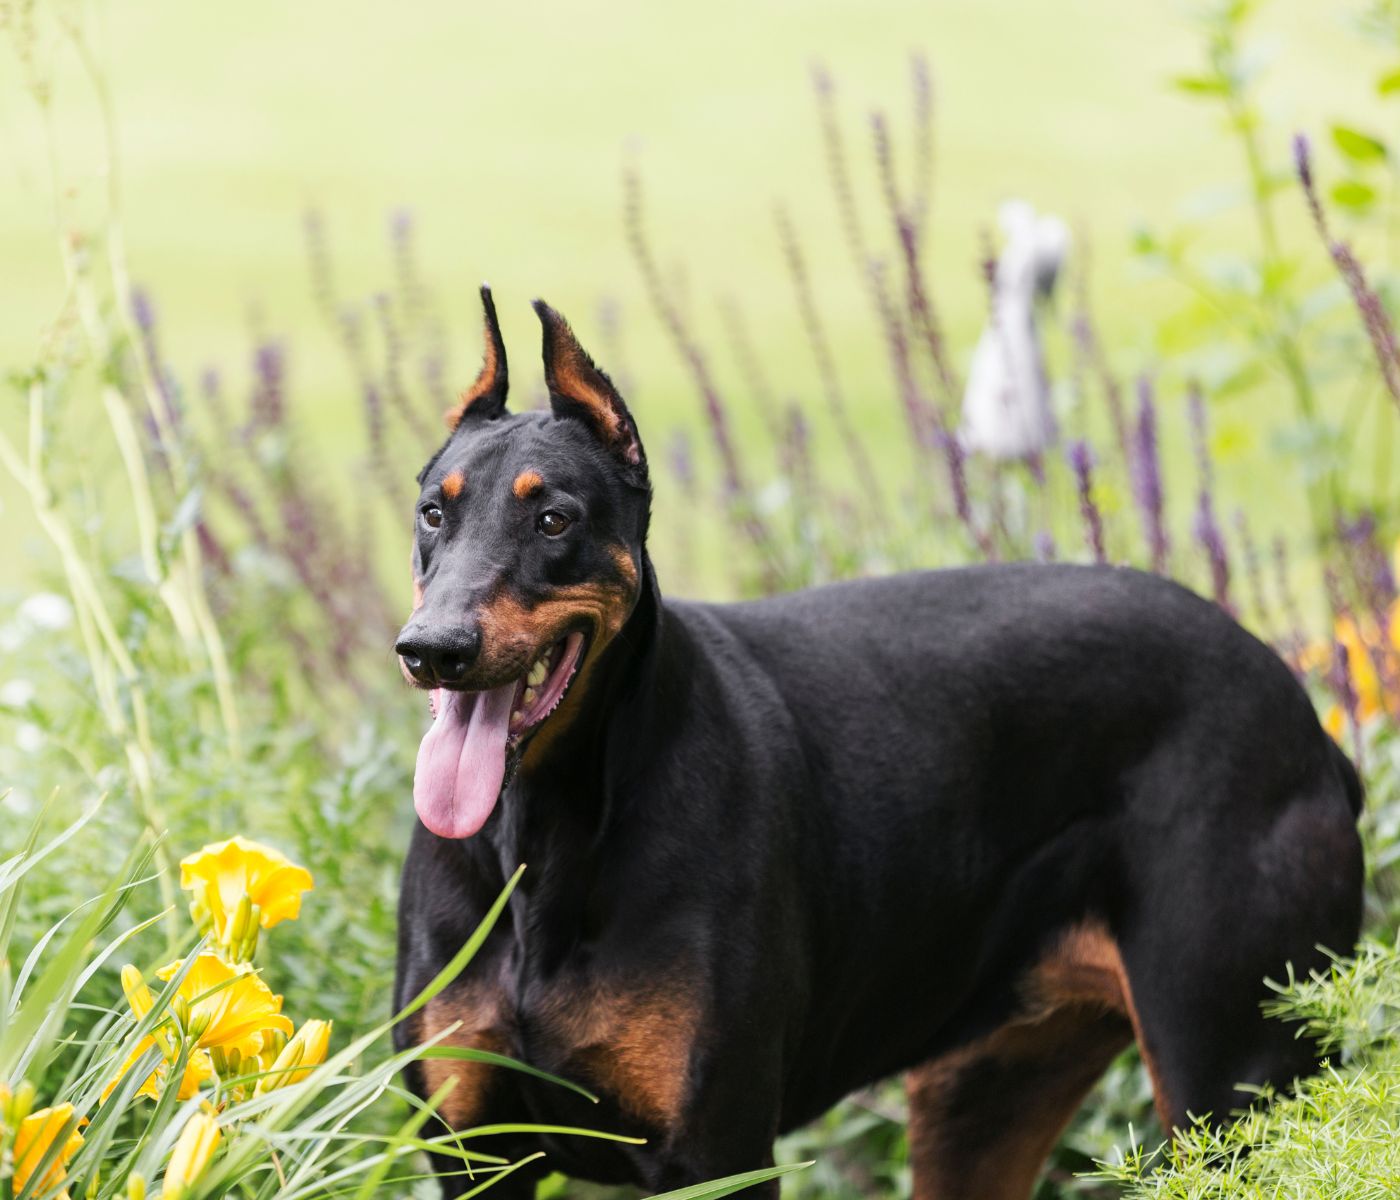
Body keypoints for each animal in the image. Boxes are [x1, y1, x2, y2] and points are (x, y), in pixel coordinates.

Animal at [394, 288, 1366, 1198]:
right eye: (433, 514)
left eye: (554, 519)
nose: (431, 649)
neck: (541, 834)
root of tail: (1306, 715)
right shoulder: (474, 1155)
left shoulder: (714, 1150)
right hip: (986, 1092)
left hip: (1231, 1084)